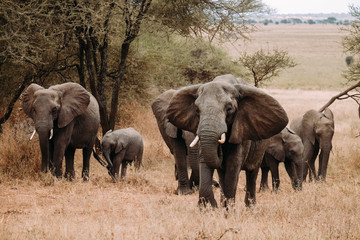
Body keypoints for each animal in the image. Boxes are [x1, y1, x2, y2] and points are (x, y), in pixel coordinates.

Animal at [164, 74, 286, 207]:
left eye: (229, 108)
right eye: (197, 109)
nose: (220, 150)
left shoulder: (241, 130)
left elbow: (233, 164)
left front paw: (227, 210)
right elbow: (205, 159)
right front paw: (209, 207)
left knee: (252, 173)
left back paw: (250, 207)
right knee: (223, 174)